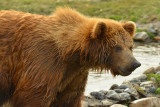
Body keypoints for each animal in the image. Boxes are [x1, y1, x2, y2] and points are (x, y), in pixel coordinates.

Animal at [0, 7, 140, 106]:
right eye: (117, 47)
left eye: (130, 46)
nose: (135, 63)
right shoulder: (42, 61)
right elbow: (33, 95)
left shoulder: (74, 74)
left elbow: (69, 98)